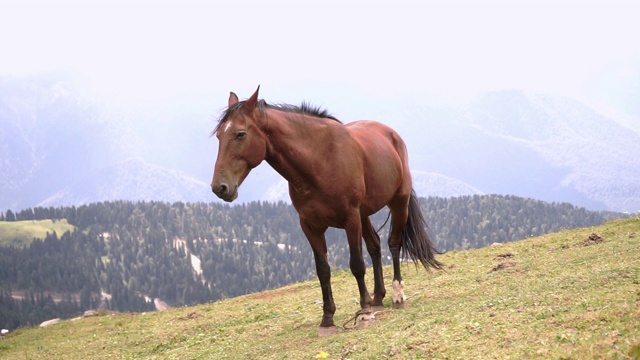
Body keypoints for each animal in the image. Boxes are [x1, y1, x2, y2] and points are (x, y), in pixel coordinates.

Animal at [210, 86, 440, 334]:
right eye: (219, 136)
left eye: (240, 134)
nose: (219, 187)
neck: (319, 162)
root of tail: (391, 134)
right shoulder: (310, 226)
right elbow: (323, 270)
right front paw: (328, 318)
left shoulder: (350, 219)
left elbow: (356, 264)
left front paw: (364, 312)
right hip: (365, 214)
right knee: (375, 246)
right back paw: (378, 298)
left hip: (398, 202)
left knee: (394, 244)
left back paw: (397, 296)